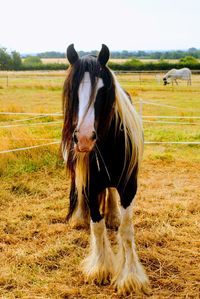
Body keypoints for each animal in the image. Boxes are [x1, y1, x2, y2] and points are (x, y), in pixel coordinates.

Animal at [61, 43, 149, 296]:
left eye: (102, 91)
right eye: (72, 89)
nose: (83, 138)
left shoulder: (129, 188)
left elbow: (127, 231)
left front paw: (130, 277)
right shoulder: (90, 186)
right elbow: (97, 227)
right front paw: (100, 268)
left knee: (110, 194)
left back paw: (113, 215)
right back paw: (80, 217)